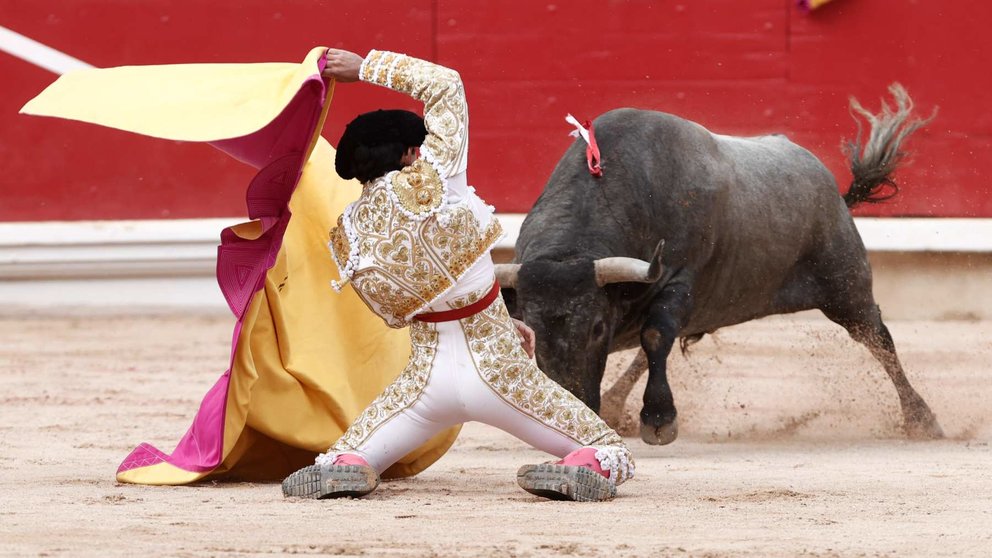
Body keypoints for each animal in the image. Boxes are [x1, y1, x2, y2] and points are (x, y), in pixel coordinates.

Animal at [500, 85, 940, 444]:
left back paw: (922, 420)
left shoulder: (679, 280)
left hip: (846, 286)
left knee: (879, 339)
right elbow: (653, 341)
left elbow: (655, 336)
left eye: (596, 327)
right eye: (529, 331)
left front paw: (659, 419)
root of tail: (828, 184)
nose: (570, 404)